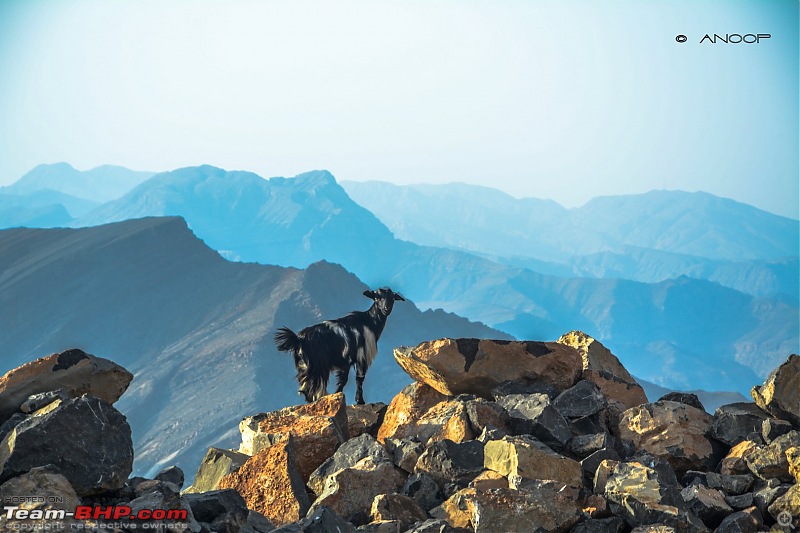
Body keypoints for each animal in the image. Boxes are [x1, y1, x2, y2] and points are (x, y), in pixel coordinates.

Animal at [274, 286, 406, 404]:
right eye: (377, 298)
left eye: (392, 298)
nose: (386, 308)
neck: (369, 323)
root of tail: (298, 339)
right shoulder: (358, 358)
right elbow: (355, 379)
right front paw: (357, 400)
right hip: (317, 365)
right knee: (312, 384)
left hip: (304, 365)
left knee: (305, 384)